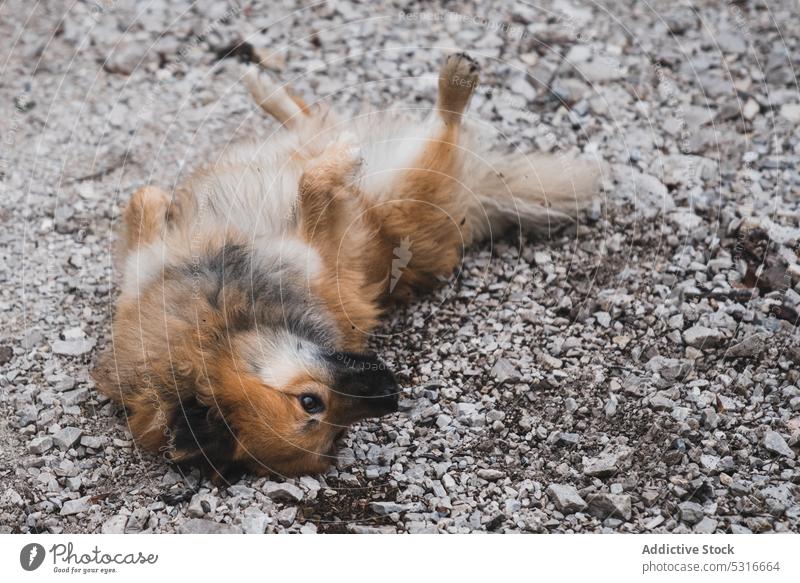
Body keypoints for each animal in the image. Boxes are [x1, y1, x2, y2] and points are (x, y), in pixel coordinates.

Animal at [94, 52, 596, 482]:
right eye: (319, 413)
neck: (218, 324)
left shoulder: (156, 263)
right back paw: (451, 85)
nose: (391, 394)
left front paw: (168, 200)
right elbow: (312, 184)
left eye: (309, 401)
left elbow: (143, 196)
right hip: (409, 197)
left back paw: (266, 88)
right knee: (440, 133)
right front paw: (341, 160)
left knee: (315, 124)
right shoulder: (315, 251)